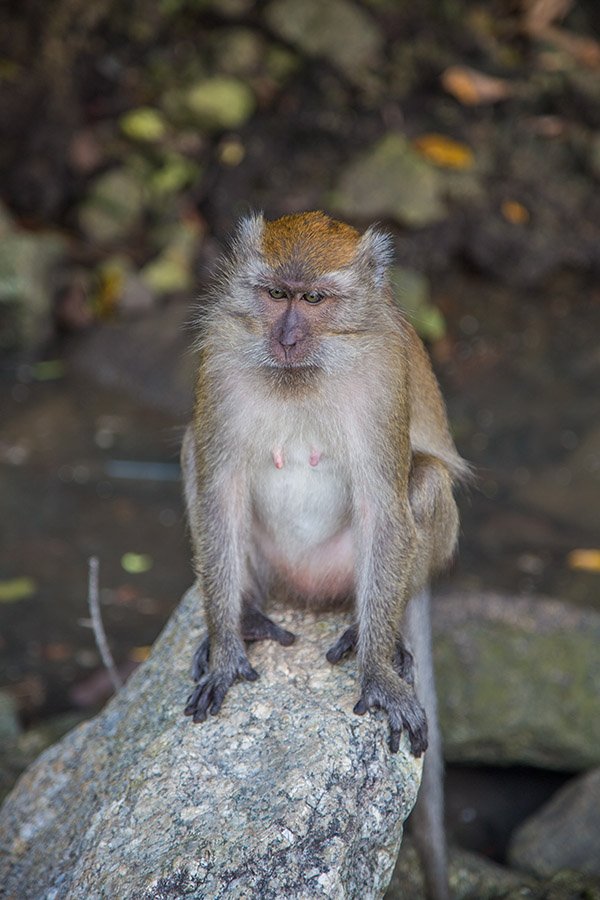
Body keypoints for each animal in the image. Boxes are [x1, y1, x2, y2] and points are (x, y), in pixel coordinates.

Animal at [181, 211, 467, 900]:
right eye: (275, 295)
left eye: (313, 299)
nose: (286, 335)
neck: (302, 374)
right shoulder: (219, 362)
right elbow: (218, 488)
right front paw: (226, 649)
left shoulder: (384, 376)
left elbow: (385, 504)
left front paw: (379, 675)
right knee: (193, 448)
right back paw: (247, 613)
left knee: (421, 482)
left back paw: (373, 632)